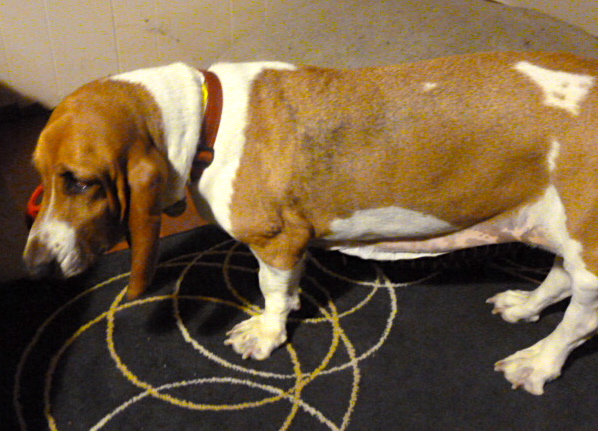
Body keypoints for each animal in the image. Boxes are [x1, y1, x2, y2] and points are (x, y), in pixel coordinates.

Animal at [23, 51, 598, 395]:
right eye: (41, 177)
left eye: (80, 183)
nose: (34, 268)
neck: (207, 118)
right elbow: (290, 289)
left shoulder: (277, 243)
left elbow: (273, 294)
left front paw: (265, 335)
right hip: (563, 231)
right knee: (557, 279)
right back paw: (524, 306)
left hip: (589, 252)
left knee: (578, 321)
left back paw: (537, 362)